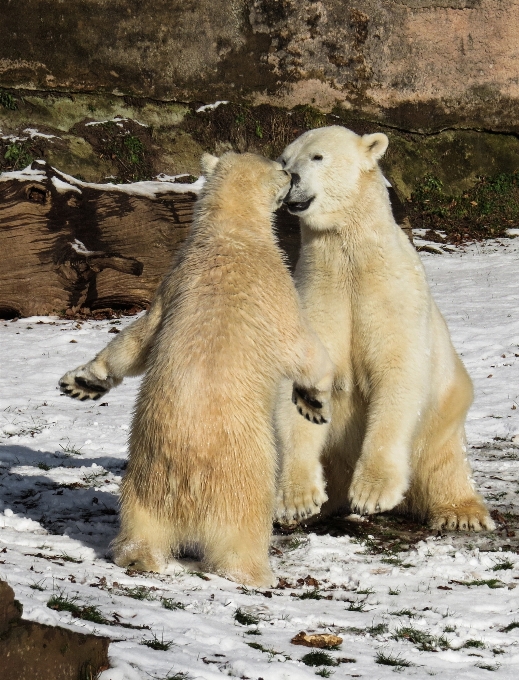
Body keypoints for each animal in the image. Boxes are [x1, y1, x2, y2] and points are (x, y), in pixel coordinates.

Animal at [60, 153, 334, 584]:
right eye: (282, 168)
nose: (292, 175)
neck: (229, 235)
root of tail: (186, 483)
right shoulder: (275, 286)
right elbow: (302, 345)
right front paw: (314, 402)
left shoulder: (170, 283)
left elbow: (138, 340)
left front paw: (84, 381)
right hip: (243, 475)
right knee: (242, 531)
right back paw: (258, 573)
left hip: (144, 481)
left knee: (141, 523)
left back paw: (136, 556)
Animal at [274, 126, 494, 532]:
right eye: (284, 159)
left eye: (317, 157)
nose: (290, 178)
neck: (351, 259)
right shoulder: (317, 295)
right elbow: (301, 385)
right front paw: (297, 502)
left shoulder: (391, 297)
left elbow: (397, 372)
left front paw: (373, 492)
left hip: (443, 420)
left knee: (444, 465)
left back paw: (461, 514)